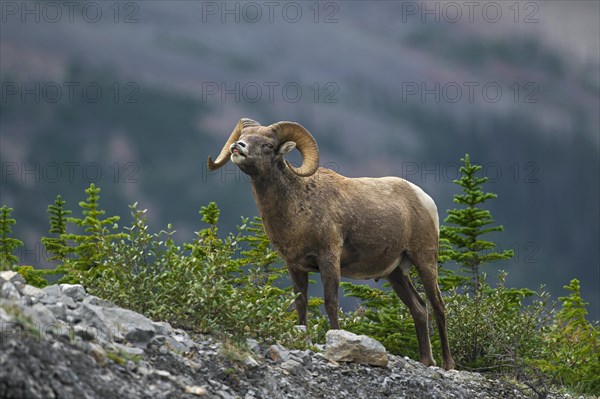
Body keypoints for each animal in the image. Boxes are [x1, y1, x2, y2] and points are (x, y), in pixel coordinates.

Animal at [206, 119, 454, 372]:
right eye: (243, 136)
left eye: (268, 144)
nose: (238, 147)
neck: (297, 204)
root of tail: (425, 200)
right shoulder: (295, 267)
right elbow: (301, 305)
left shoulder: (329, 260)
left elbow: (331, 303)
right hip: (395, 274)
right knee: (419, 308)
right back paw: (426, 361)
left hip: (425, 261)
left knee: (438, 307)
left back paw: (448, 364)